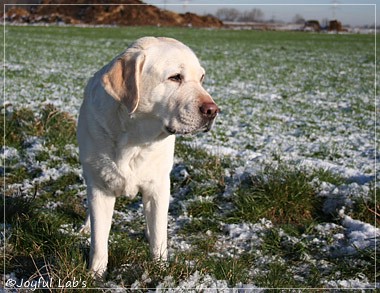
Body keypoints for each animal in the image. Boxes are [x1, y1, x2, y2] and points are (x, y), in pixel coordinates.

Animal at [76, 36, 220, 276]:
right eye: (175, 77)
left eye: (201, 78)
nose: (213, 111)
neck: (134, 138)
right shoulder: (100, 186)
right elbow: (99, 240)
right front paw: (95, 274)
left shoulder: (158, 186)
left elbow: (159, 235)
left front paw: (160, 267)